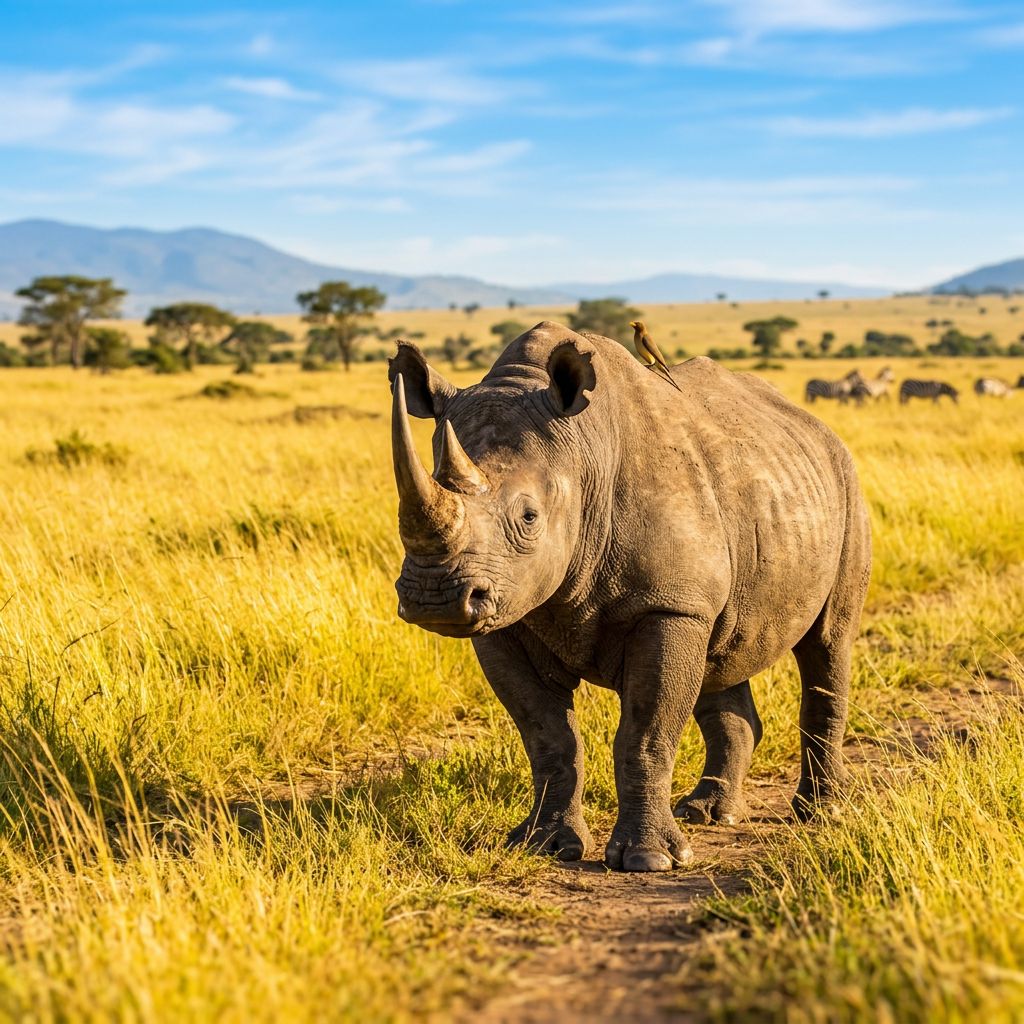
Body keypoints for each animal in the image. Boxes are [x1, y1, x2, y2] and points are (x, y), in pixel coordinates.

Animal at [388, 321, 871, 872]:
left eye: (529, 516)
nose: (435, 598)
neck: (582, 456)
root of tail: (816, 426)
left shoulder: (666, 605)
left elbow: (645, 733)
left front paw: (648, 859)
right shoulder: (508, 614)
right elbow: (547, 735)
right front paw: (543, 845)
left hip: (844, 483)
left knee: (827, 642)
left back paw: (820, 812)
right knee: (721, 653)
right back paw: (709, 813)